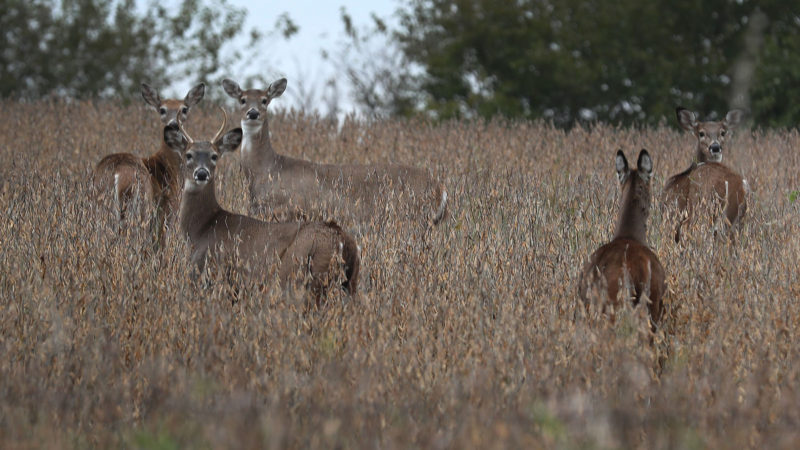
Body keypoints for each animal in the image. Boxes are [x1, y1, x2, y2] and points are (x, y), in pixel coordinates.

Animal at [92, 82, 205, 239]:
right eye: (162, 109)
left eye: (184, 109)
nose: (173, 124)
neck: (168, 166)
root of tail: (118, 171)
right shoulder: (167, 211)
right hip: (141, 207)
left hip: (100, 206)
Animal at [166, 109, 360, 298]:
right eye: (188, 155)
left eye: (214, 156)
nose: (201, 173)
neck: (202, 229)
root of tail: (341, 239)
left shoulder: (207, 272)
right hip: (350, 283)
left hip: (296, 275)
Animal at [222, 77, 450, 229]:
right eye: (242, 99)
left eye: (264, 100)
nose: (253, 113)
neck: (266, 169)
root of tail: (440, 189)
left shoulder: (292, 211)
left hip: (410, 218)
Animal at [660, 107, 748, 243]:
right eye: (701, 133)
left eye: (723, 133)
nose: (715, 147)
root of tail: (735, 185)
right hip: (737, 220)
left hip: (702, 206)